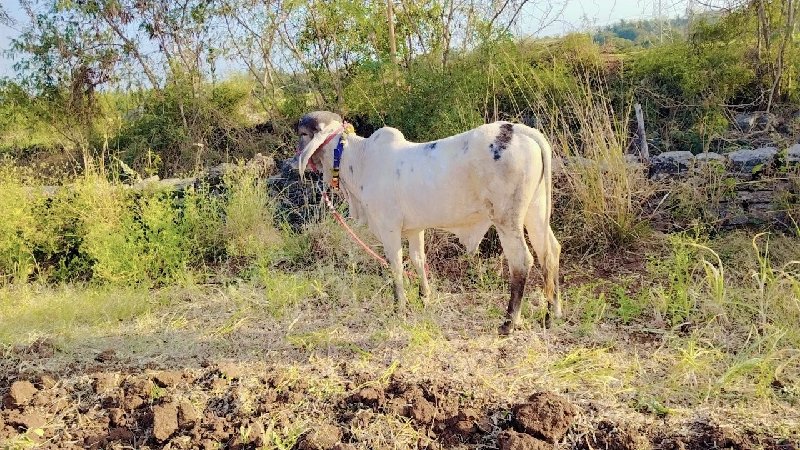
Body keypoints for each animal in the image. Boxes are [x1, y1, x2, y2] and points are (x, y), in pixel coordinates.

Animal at [296, 110, 564, 332]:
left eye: (302, 135)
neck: (360, 161)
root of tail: (519, 130)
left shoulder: (388, 228)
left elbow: (395, 265)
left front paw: (399, 307)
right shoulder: (415, 229)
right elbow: (418, 260)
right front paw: (424, 297)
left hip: (507, 219)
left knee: (522, 261)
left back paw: (509, 323)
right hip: (535, 211)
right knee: (549, 252)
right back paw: (551, 315)